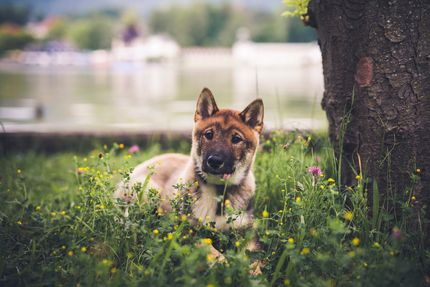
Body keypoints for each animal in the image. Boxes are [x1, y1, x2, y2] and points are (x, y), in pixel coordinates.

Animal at [112, 88, 264, 274]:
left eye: (236, 139)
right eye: (209, 134)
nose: (214, 161)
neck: (218, 192)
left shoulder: (248, 232)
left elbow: (253, 257)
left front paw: (253, 273)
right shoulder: (187, 230)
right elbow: (210, 250)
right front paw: (224, 265)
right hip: (148, 192)